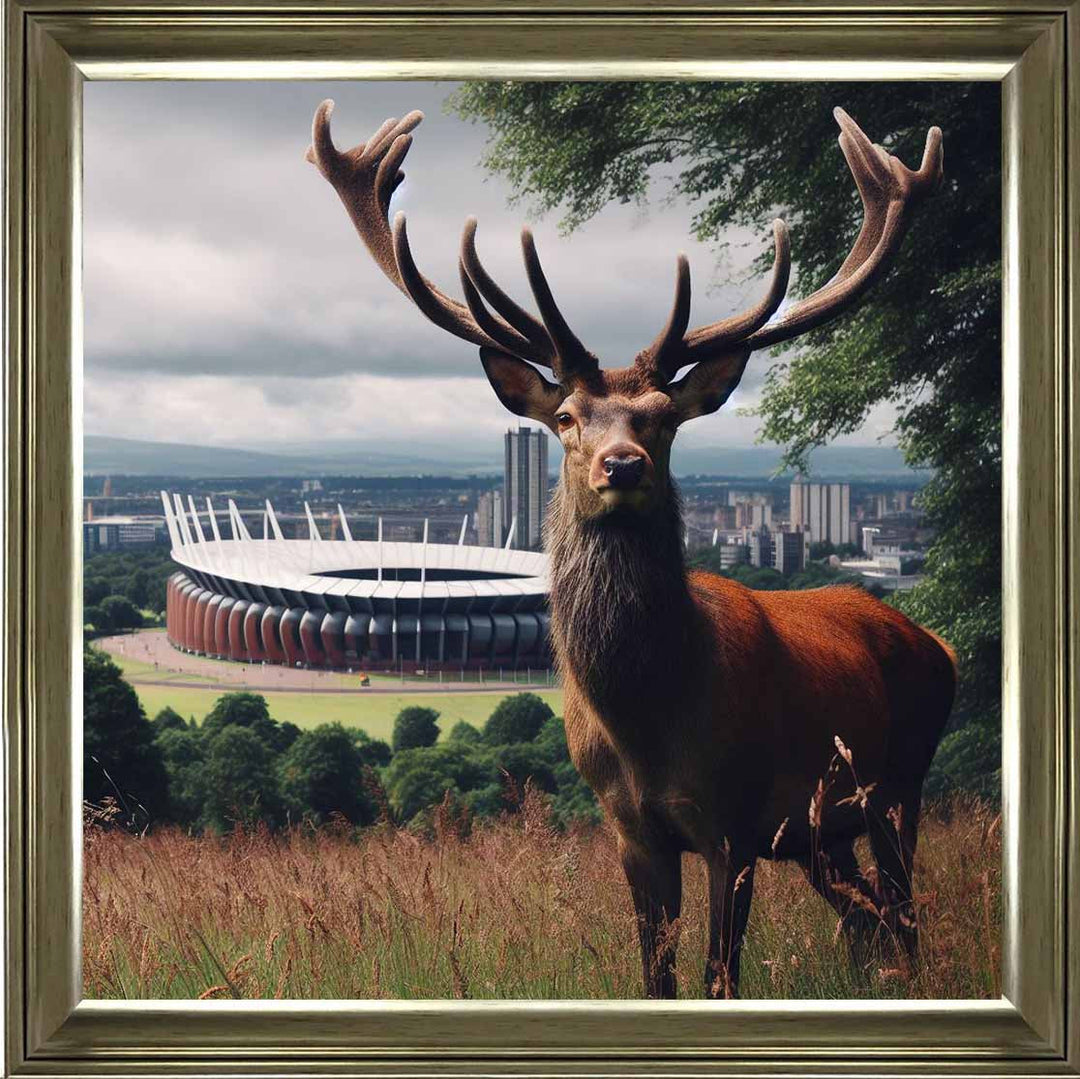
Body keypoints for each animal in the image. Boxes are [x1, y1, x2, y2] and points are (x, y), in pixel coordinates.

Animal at [306, 100, 954, 999]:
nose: (622, 464)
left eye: (663, 417)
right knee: (867, 920)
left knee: (905, 916)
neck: (652, 719)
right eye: (566, 417)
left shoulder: (735, 822)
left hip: (900, 784)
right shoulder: (631, 829)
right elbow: (658, 974)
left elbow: (720, 976)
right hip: (823, 832)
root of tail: (940, 645)